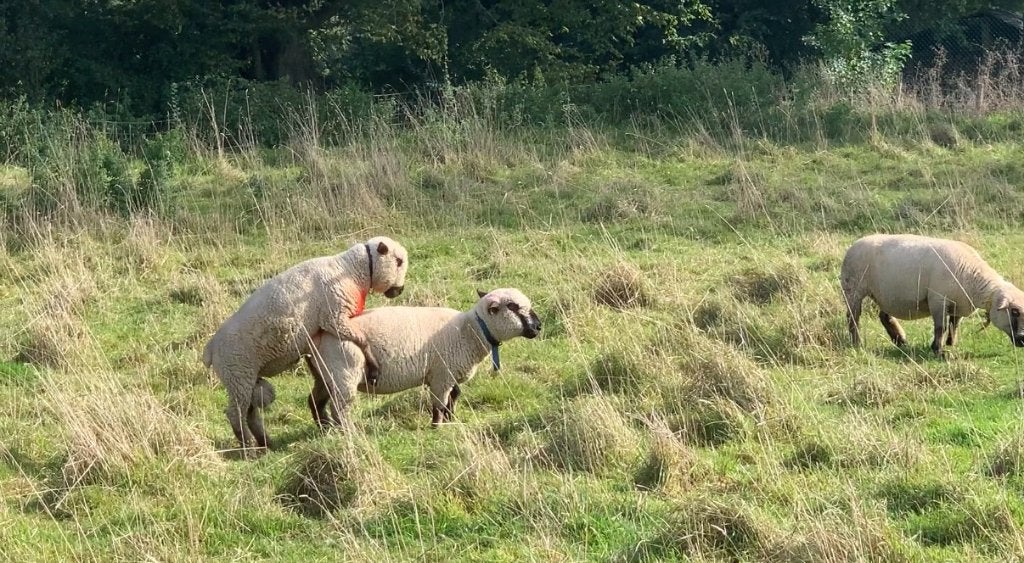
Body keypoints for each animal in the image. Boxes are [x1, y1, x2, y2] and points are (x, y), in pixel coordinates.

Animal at [202, 236, 408, 450]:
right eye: (399, 261)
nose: (400, 290)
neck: (351, 271)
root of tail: (210, 348)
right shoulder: (335, 319)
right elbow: (361, 339)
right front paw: (373, 365)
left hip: (244, 378)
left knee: (250, 413)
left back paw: (265, 443)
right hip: (237, 375)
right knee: (235, 414)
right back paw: (249, 447)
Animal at [304, 288, 541, 427]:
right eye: (513, 307)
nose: (539, 327)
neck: (470, 331)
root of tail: (315, 337)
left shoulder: (448, 373)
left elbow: (453, 397)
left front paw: (451, 420)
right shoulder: (441, 375)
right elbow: (439, 403)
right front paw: (437, 426)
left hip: (324, 374)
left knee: (315, 401)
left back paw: (324, 429)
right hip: (343, 371)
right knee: (339, 407)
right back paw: (346, 432)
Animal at [841, 233, 1024, 356]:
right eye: (1014, 311)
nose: (1023, 339)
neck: (973, 278)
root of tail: (854, 244)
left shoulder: (957, 304)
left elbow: (954, 325)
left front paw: (950, 343)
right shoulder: (938, 300)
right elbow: (940, 327)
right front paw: (938, 349)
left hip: (885, 294)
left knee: (884, 315)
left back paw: (900, 340)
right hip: (853, 289)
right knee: (853, 317)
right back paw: (857, 344)